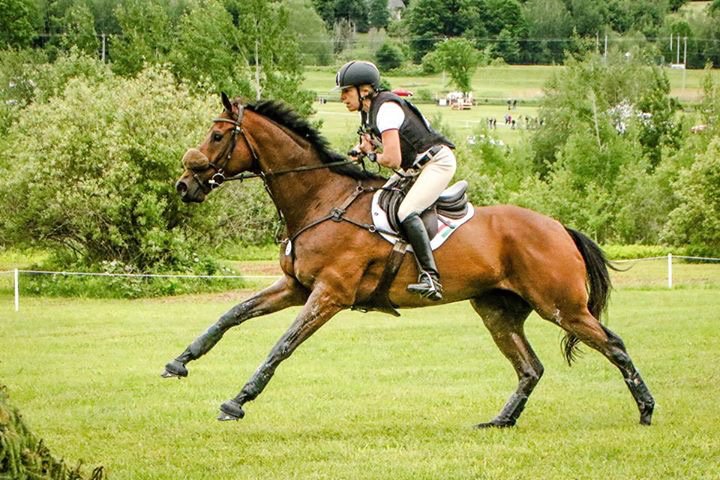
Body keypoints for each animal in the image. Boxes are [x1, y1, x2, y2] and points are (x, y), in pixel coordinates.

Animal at [164, 93, 655, 427]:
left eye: (218, 135)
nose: (185, 185)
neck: (321, 199)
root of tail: (560, 228)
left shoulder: (329, 294)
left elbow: (282, 345)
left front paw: (237, 401)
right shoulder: (295, 287)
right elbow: (230, 315)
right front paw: (180, 362)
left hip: (561, 306)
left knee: (613, 344)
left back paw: (647, 409)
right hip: (497, 310)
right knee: (530, 367)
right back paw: (500, 421)